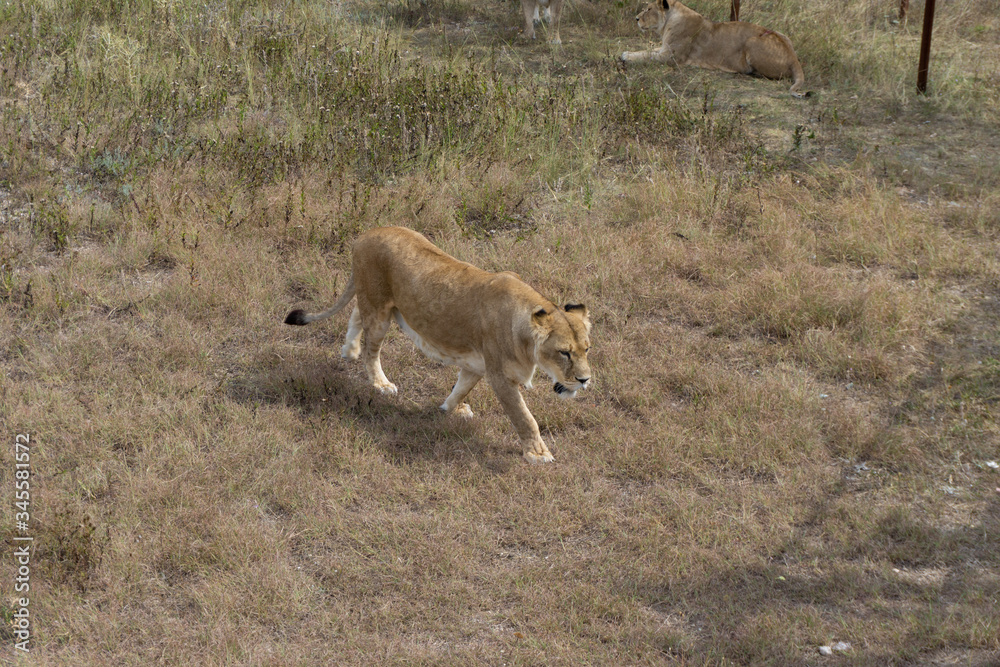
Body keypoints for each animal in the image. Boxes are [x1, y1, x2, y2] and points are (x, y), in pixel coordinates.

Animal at [283, 226, 592, 464]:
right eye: (564, 352)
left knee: (357, 314)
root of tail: (367, 233)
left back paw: (349, 350)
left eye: (587, 349)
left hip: (376, 303)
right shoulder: (500, 376)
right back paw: (380, 383)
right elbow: (525, 418)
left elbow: (461, 388)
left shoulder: (476, 364)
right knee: (372, 349)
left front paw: (450, 409)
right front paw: (538, 454)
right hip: (380, 311)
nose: (585, 380)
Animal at [621, 0, 810, 98]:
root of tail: (794, 57)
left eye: (648, 9)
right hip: (783, 35)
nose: (636, 18)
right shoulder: (664, 50)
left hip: (752, 41)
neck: (669, 21)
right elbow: (647, 50)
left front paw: (625, 55)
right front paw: (628, 52)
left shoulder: (671, 57)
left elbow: (646, 55)